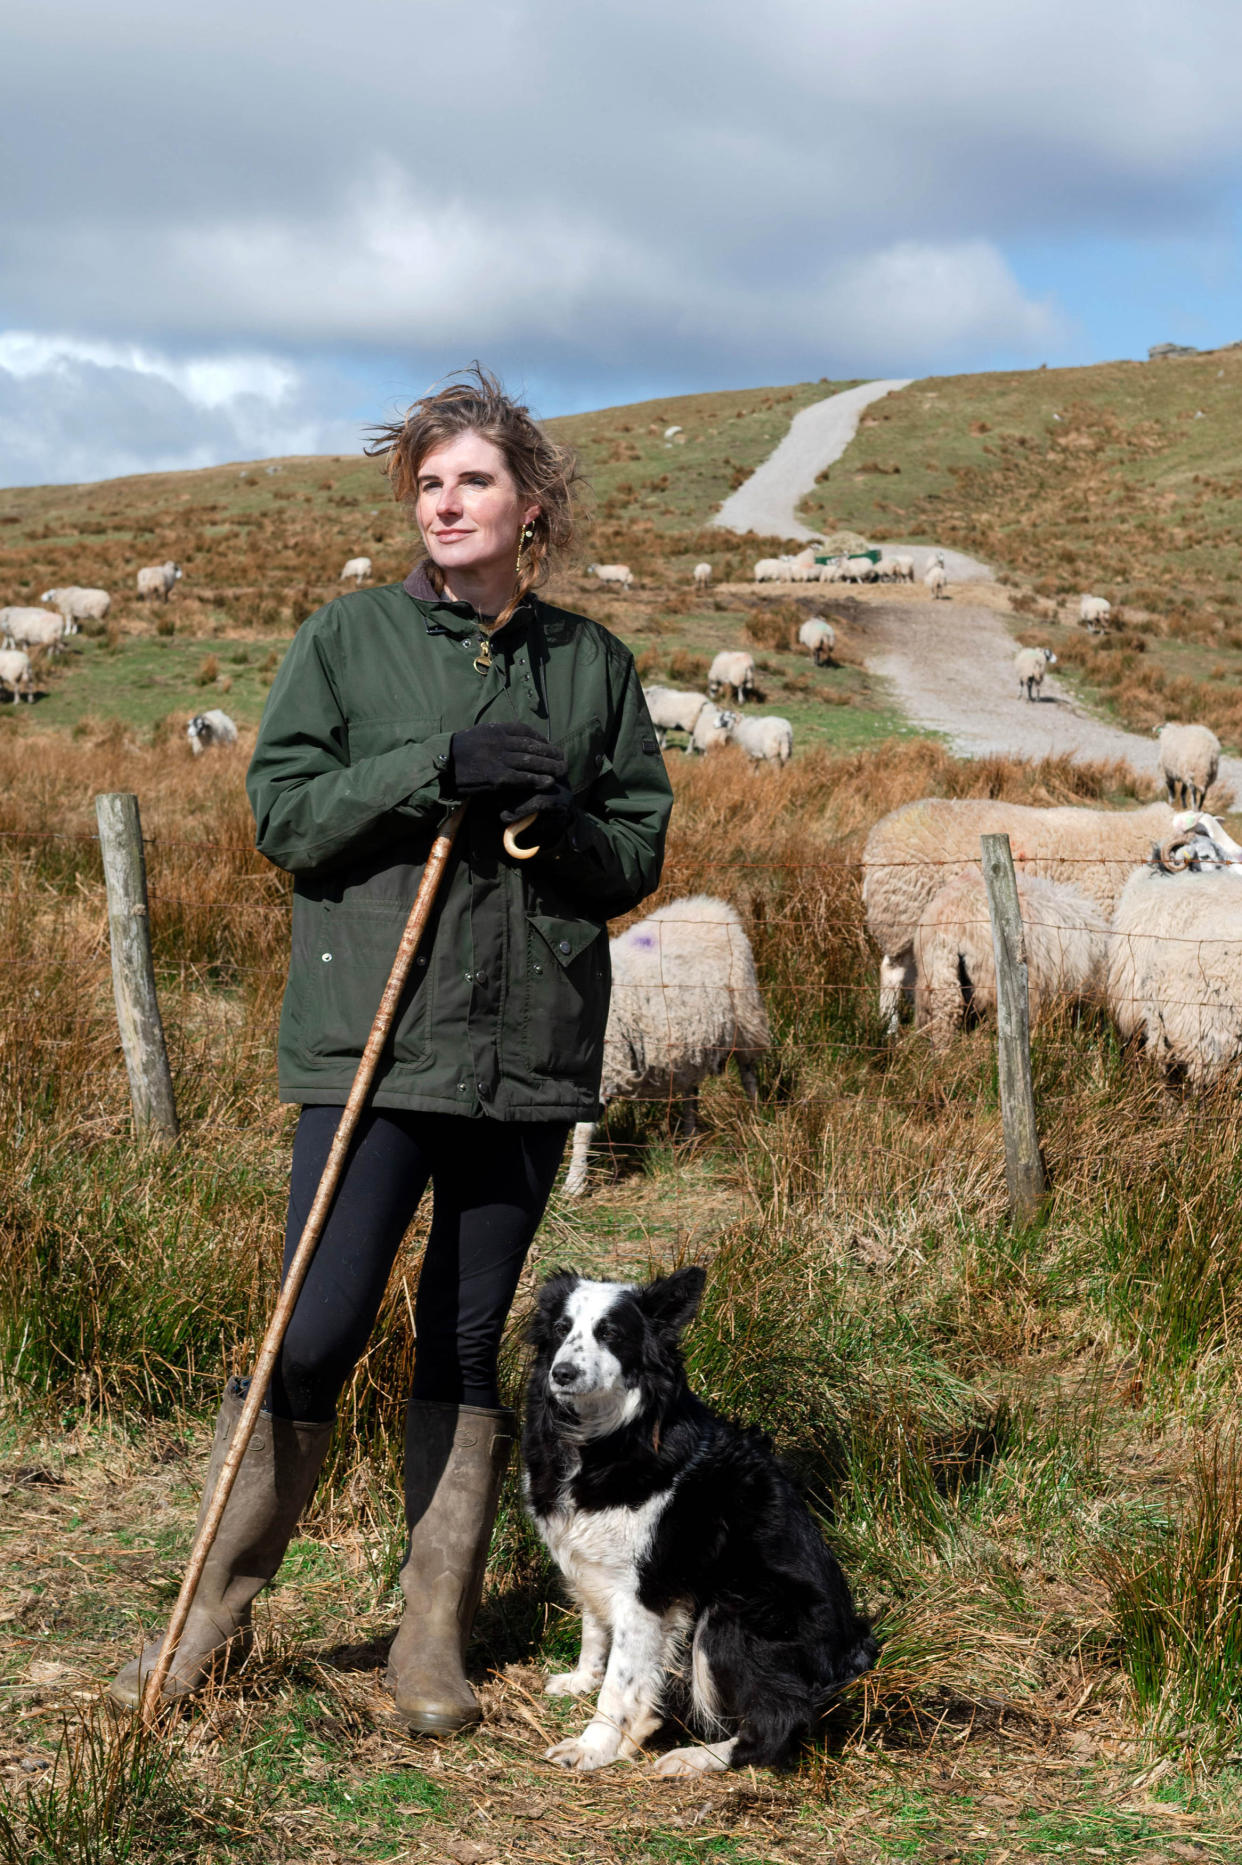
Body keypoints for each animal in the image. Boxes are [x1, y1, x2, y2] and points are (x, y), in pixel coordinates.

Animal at [518, 1268, 869, 1775]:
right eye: (563, 1329)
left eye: (610, 1334)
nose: (561, 1373)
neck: (610, 1437)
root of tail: (853, 1659)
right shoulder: (594, 1561)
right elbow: (595, 1631)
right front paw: (584, 1681)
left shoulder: (647, 1588)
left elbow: (621, 1681)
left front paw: (595, 1745)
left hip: (738, 1610)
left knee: (780, 1723)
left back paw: (697, 1756)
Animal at [559, 898, 764, 1193]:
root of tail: (711, 906)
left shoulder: (604, 1066)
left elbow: (583, 1130)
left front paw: (574, 1183)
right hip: (688, 1040)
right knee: (691, 1090)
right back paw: (689, 1138)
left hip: (744, 1015)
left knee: (748, 1073)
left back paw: (757, 1118)